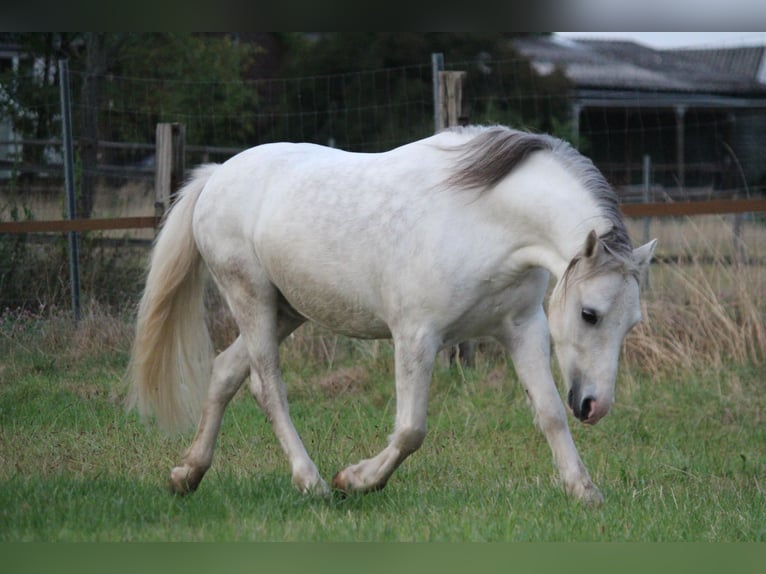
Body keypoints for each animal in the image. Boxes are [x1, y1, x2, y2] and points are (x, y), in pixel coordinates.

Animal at [127, 125, 656, 505]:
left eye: (630, 324)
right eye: (589, 314)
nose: (594, 406)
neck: (483, 221)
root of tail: (216, 175)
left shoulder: (523, 329)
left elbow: (548, 413)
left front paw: (584, 491)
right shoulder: (416, 336)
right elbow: (410, 430)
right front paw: (356, 480)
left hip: (286, 310)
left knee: (225, 373)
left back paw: (186, 474)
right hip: (250, 298)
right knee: (269, 388)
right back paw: (312, 482)